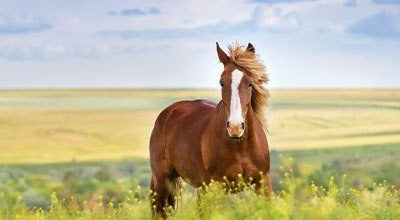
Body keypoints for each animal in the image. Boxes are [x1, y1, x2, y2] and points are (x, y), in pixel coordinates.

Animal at [149, 42, 272, 217]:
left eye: (249, 83)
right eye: (222, 82)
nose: (235, 127)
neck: (240, 146)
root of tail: (168, 112)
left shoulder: (263, 184)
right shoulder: (217, 188)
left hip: (200, 188)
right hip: (162, 182)